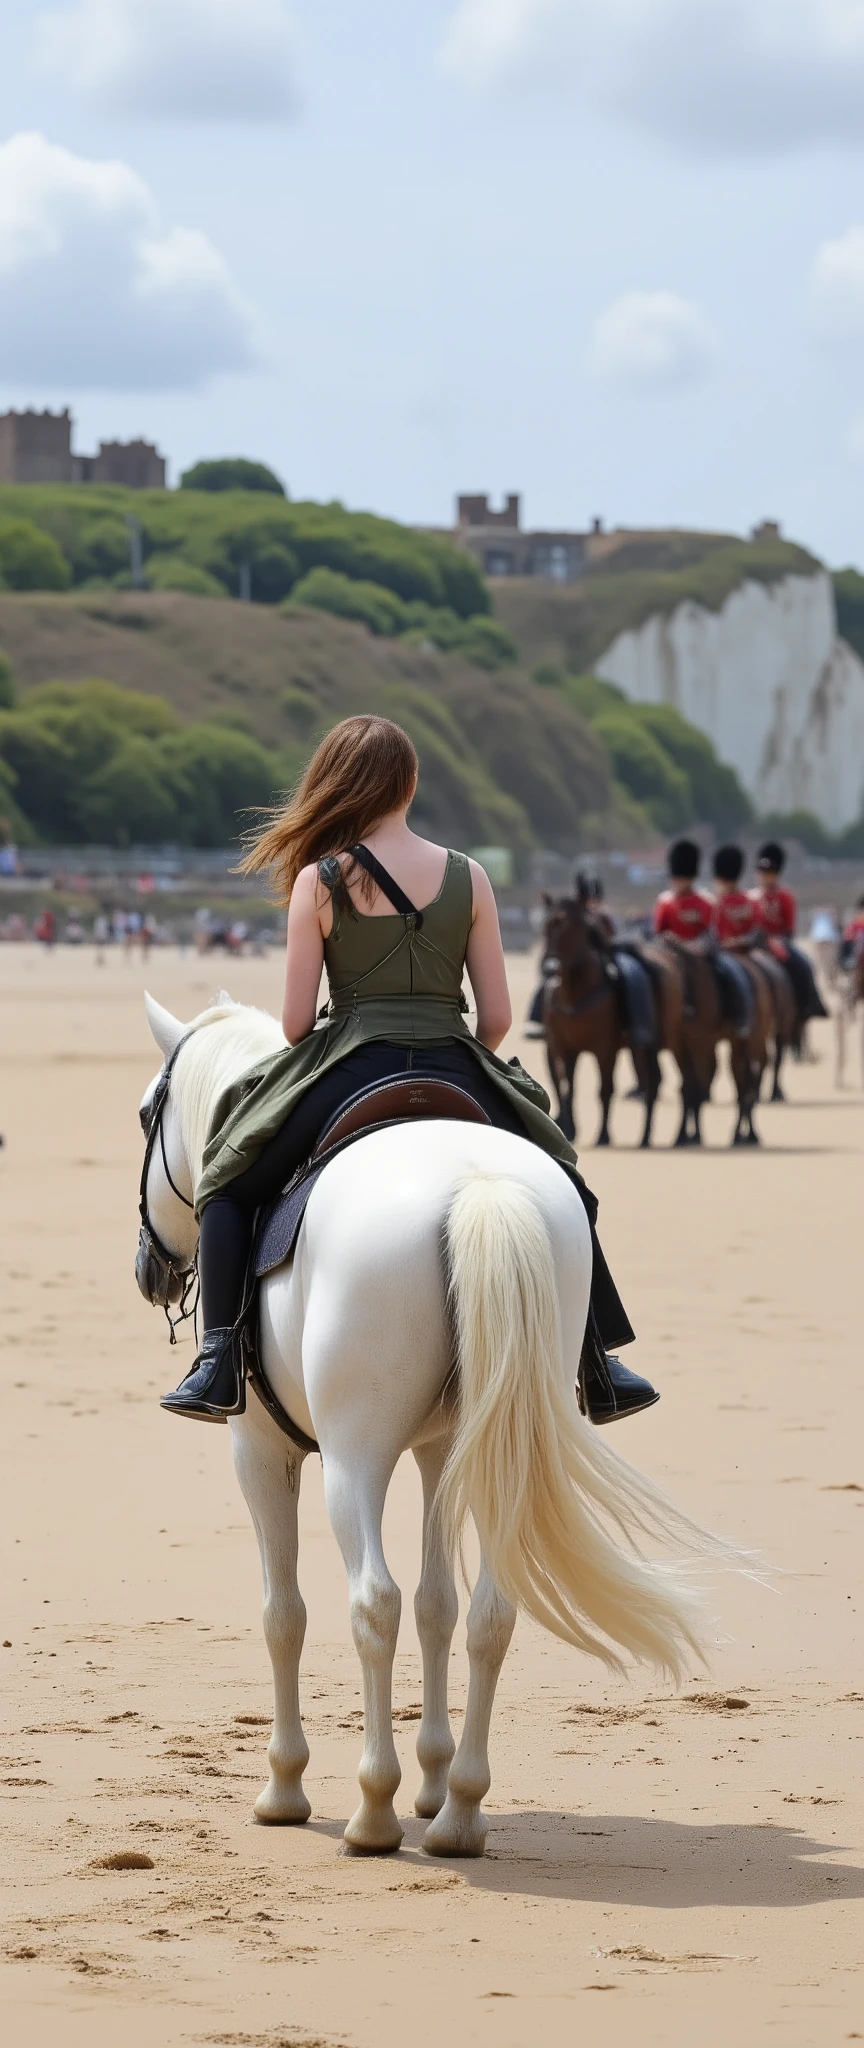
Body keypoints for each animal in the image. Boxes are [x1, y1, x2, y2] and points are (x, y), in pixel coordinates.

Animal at [136, 991, 737, 1858]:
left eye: (147, 1112)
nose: (150, 1270)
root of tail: (474, 1186)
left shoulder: (260, 1452)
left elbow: (286, 1614)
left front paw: (286, 1787)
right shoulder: (442, 1450)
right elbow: (438, 1606)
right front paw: (432, 1776)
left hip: (353, 1460)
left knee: (372, 1603)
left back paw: (374, 1811)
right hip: (498, 1444)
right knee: (489, 1613)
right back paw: (459, 1812)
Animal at [540, 896, 683, 1148]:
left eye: (572, 928)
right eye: (545, 926)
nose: (549, 968)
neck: (574, 997)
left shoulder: (605, 1048)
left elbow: (605, 1088)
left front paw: (603, 1135)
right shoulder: (562, 1047)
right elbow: (569, 1087)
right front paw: (569, 1131)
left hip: (651, 1045)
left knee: (652, 1081)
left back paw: (645, 1136)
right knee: (649, 1080)